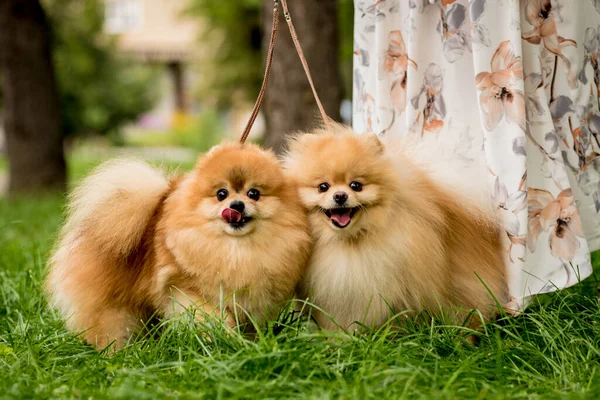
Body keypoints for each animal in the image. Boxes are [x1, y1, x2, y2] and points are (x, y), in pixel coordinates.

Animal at [46, 142, 310, 348]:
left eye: (253, 193)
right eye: (221, 194)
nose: (236, 206)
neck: (235, 249)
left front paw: (247, 345)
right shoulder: (186, 290)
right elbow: (209, 316)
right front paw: (220, 339)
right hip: (114, 306)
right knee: (110, 326)